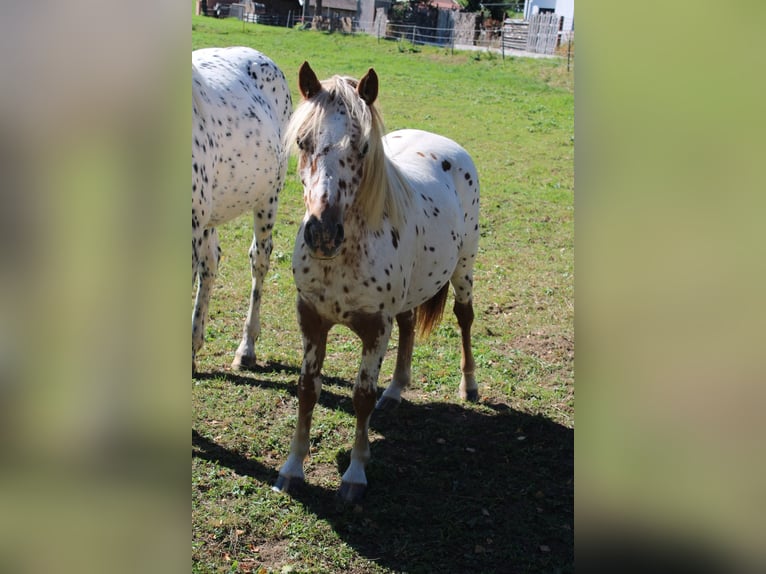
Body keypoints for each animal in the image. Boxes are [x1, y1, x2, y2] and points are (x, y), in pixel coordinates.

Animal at [273, 62, 480, 503]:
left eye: (363, 147)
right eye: (302, 141)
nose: (323, 234)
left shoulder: (374, 328)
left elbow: (361, 396)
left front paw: (355, 475)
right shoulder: (311, 318)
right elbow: (307, 389)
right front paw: (292, 468)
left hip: (464, 268)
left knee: (464, 318)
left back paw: (469, 385)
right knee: (409, 325)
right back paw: (397, 390)